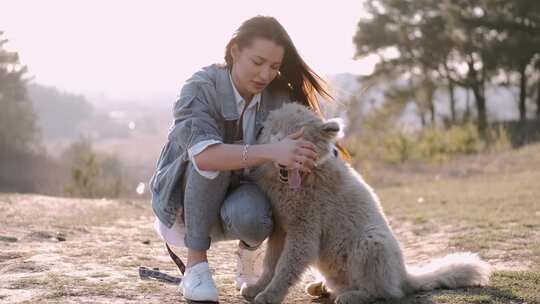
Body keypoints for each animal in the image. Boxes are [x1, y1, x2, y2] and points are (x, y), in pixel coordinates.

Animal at [243, 102, 492, 304]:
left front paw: (269, 295)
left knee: (384, 292)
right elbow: (270, 264)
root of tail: (404, 276)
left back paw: (352, 296)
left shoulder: (304, 232)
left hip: (371, 242)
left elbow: (285, 267)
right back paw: (320, 287)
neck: (302, 180)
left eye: (298, 134)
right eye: (273, 131)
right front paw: (257, 288)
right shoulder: (280, 228)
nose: (280, 150)